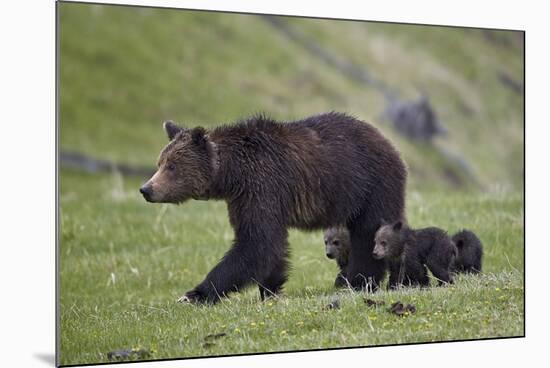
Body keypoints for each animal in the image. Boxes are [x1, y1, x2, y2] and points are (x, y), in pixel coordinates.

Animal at [140, 111, 408, 302]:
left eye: (172, 166)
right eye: (160, 162)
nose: (146, 189)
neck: (232, 174)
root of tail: (389, 142)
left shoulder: (263, 185)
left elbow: (256, 244)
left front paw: (194, 294)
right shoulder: (242, 198)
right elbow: (269, 247)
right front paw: (270, 289)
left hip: (370, 185)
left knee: (368, 233)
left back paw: (359, 280)